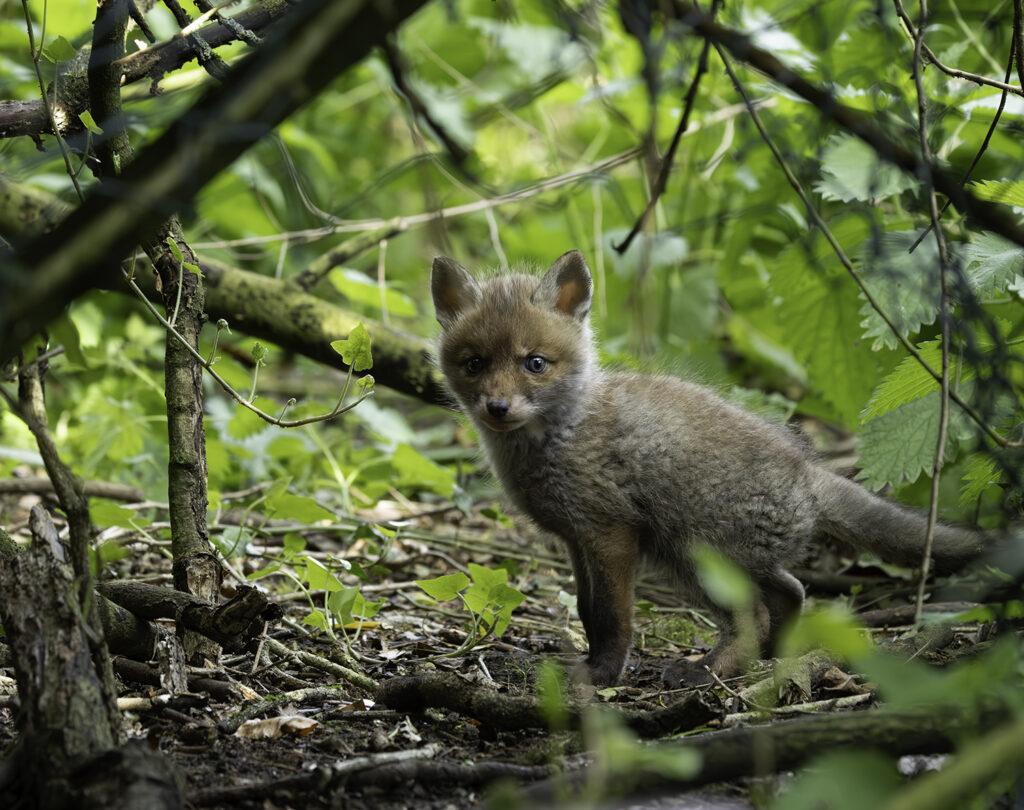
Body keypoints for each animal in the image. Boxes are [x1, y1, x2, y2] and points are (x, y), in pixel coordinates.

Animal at [430, 249, 987, 687]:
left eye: (535, 363)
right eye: (475, 364)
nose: (497, 408)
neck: (564, 433)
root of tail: (806, 471)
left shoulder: (609, 534)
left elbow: (611, 618)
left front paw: (602, 675)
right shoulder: (576, 539)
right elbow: (587, 611)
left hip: (694, 554)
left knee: (755, 613)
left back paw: (709, 671)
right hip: (707, 558)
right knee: (791, 591)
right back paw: (770, 659)